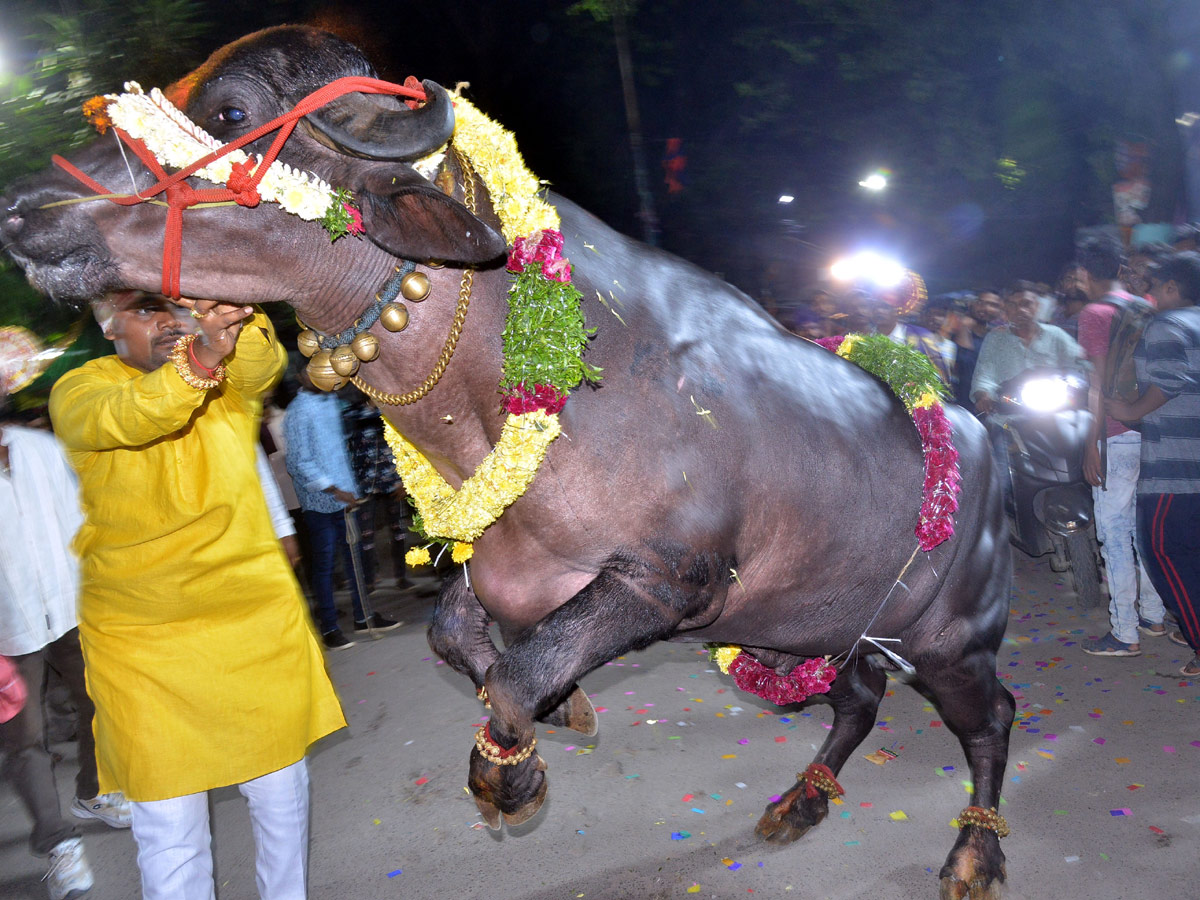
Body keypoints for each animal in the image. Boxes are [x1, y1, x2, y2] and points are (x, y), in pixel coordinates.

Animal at [2, 24, 1012, 897]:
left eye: (228, 109)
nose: (22, 208)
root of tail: (978, 439)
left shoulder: (667, 581)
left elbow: (522, 671)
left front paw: (511, 771)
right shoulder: (500, 559)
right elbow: (459, 639)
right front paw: (563, 711)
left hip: (950, 641)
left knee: (990, 717)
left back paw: (973, 856)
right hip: (820, 627)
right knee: (859, 698)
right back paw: (801, 800)